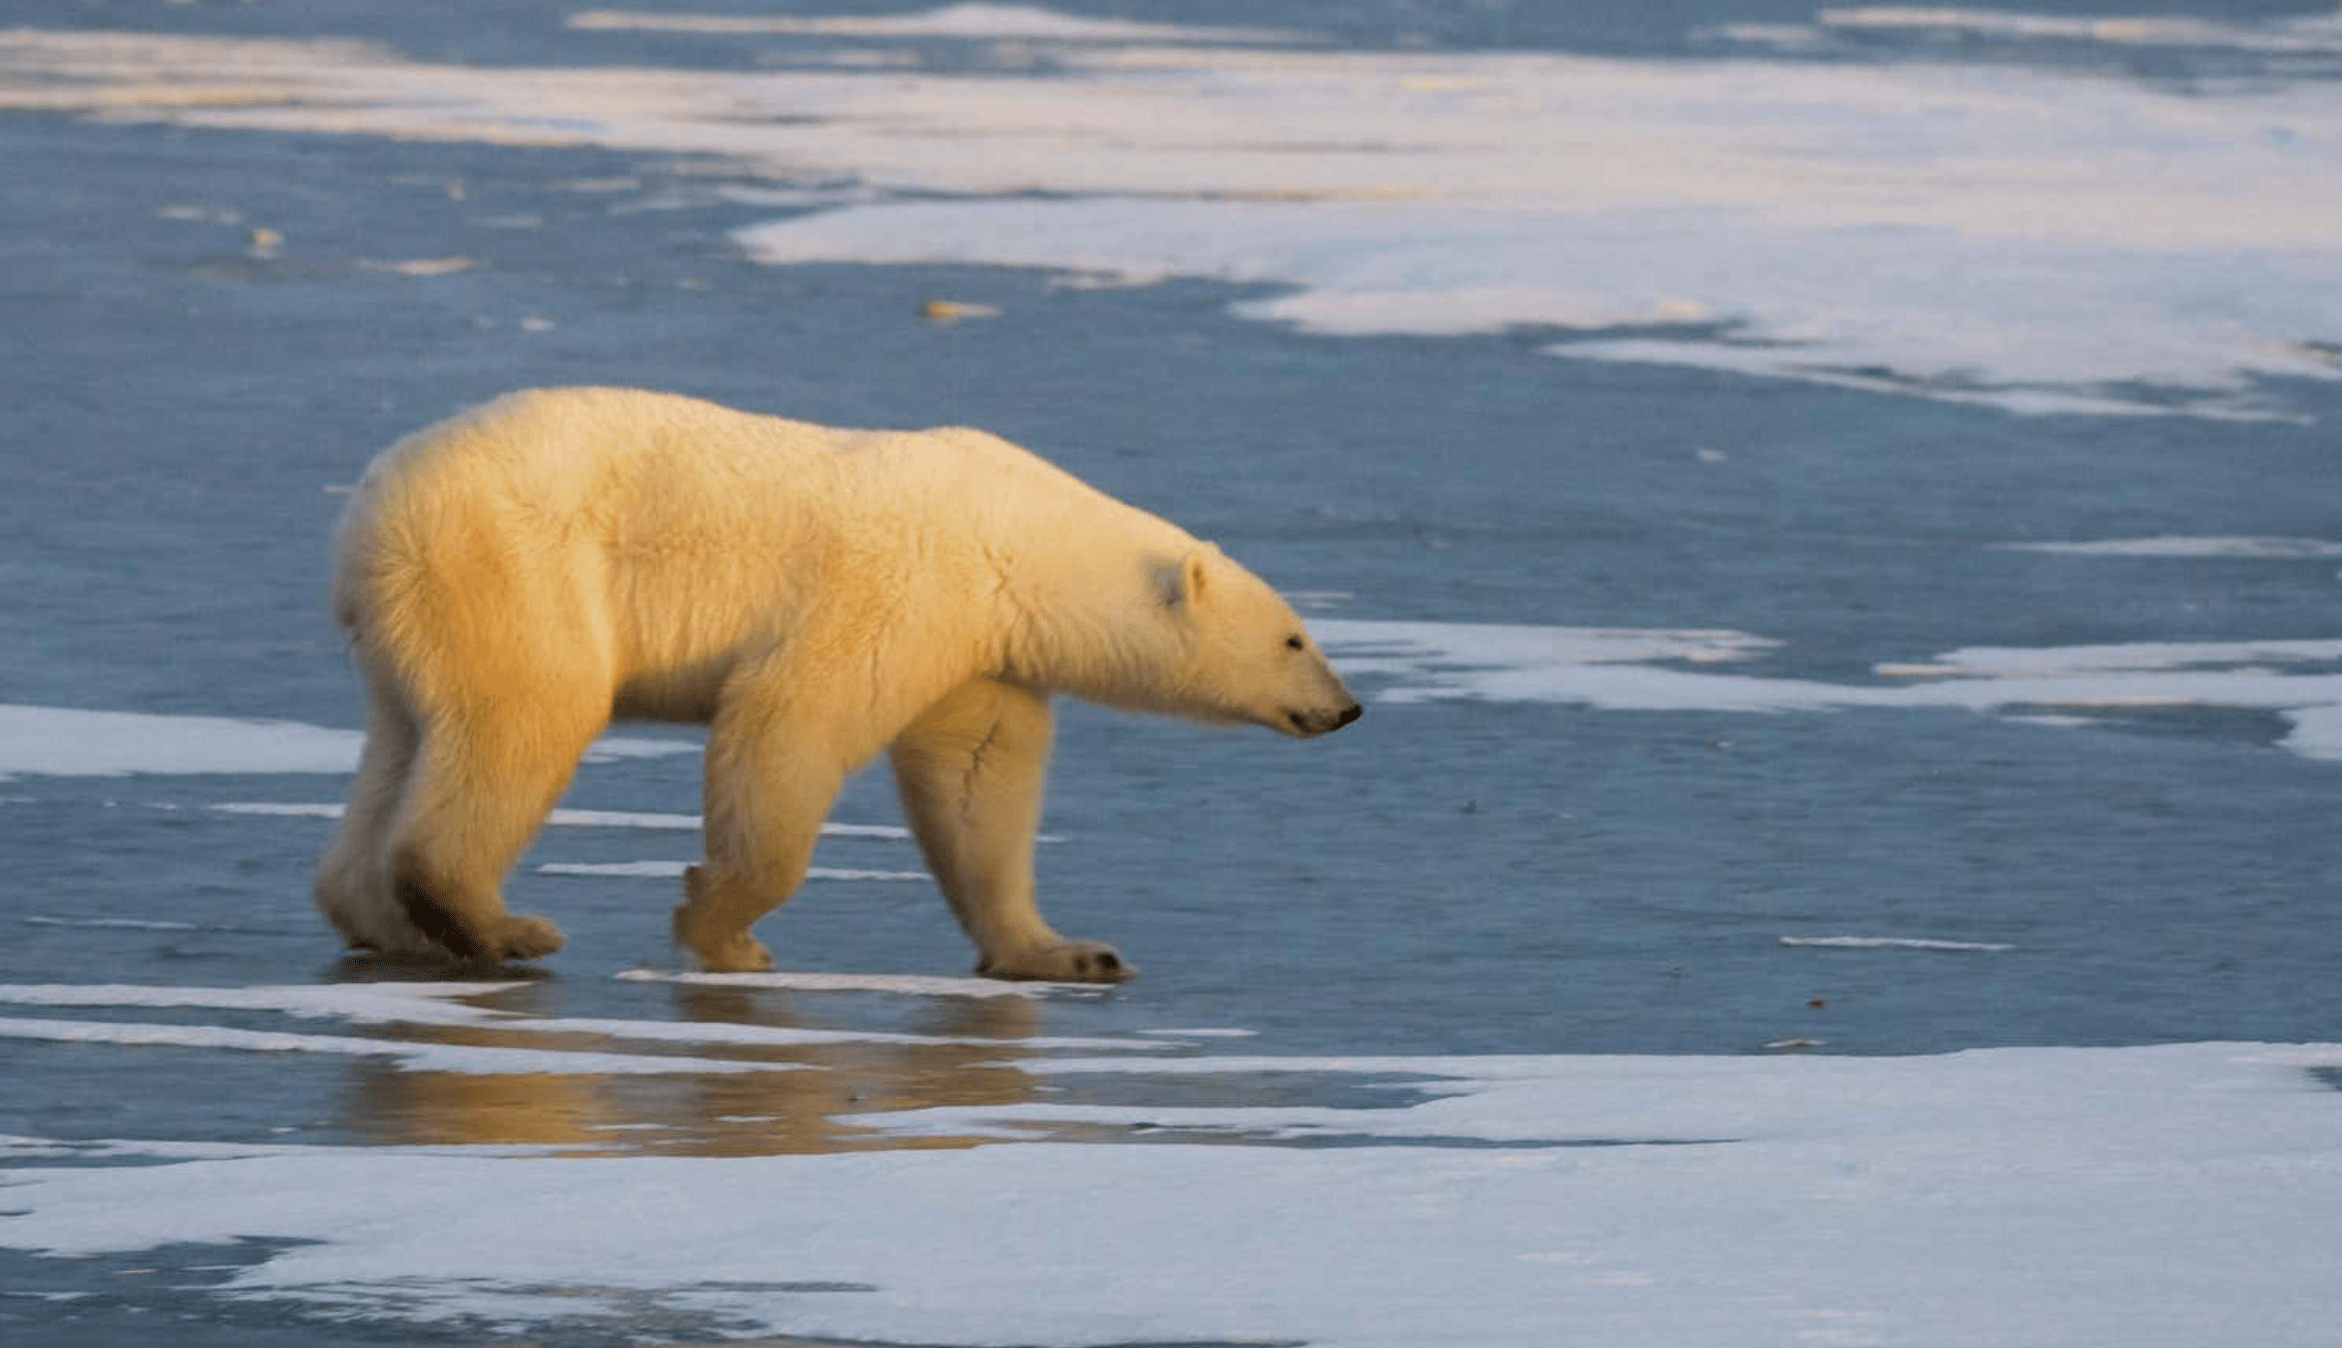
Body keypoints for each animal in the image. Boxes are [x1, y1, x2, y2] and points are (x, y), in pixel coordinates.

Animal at [320, 386, 1367, 978]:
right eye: (1294, 638)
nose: (1347, 708)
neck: (1017, 539)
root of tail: (371, 509)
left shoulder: (980, 648)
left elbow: (979, 785)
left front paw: (1069, 952)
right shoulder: (901, 584)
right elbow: (790, 721)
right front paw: (723, 928)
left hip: (415, 616)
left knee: (406, 741)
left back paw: (382, 921)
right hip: (518, 567)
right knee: (531, 713)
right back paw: (501, 927)